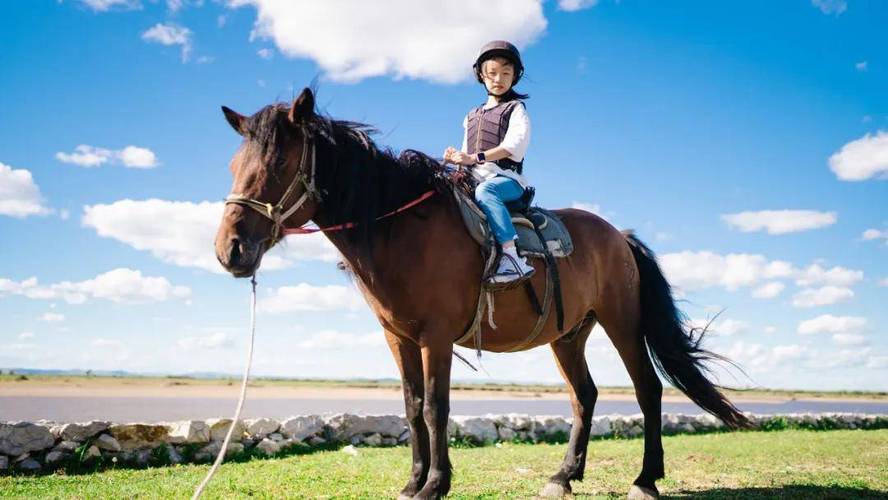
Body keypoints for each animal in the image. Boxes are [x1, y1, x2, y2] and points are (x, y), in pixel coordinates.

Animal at [213, 88, 752, 500]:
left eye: (278, 162)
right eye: (234, 164)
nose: (229, 249)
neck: (402, 230)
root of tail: (619, 237)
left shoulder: (435, 337)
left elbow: (436, 408)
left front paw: (436, 484)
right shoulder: (399, 339)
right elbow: (412, 406)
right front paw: (413, 483)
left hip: (622, 322)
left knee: (647, 390)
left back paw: (645, 479)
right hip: (568, 336)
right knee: (585, 396)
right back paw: (563, 476)